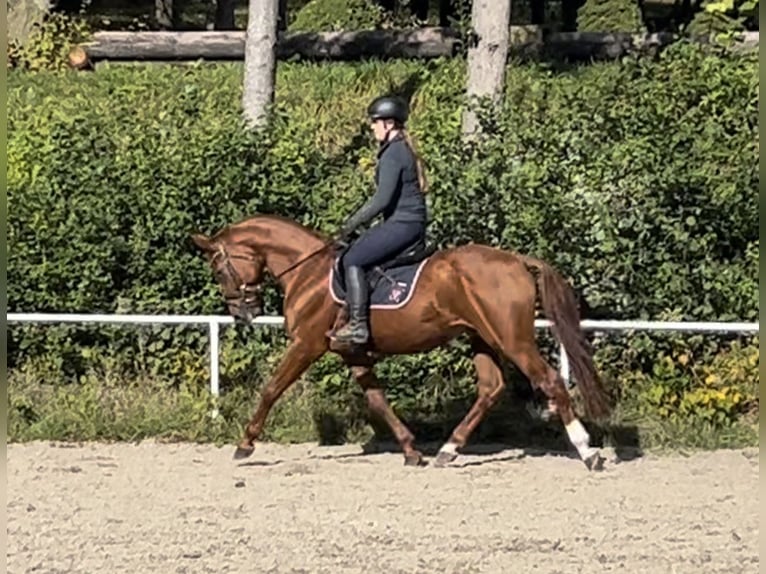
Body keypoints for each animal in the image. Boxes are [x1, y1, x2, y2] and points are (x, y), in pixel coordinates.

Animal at [190, 214, 612, 470]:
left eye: (218, 268)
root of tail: (517, 260)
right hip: (482, 337)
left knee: (549, 380)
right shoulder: (352, 352)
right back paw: (447, 450)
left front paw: (245, 444)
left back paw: (587, 451)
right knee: (491, 388)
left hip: (512, 338)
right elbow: (378, 400)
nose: (241, 314)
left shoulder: (307, 345)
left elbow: (271, 388)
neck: (308, 272)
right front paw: (411, 450)